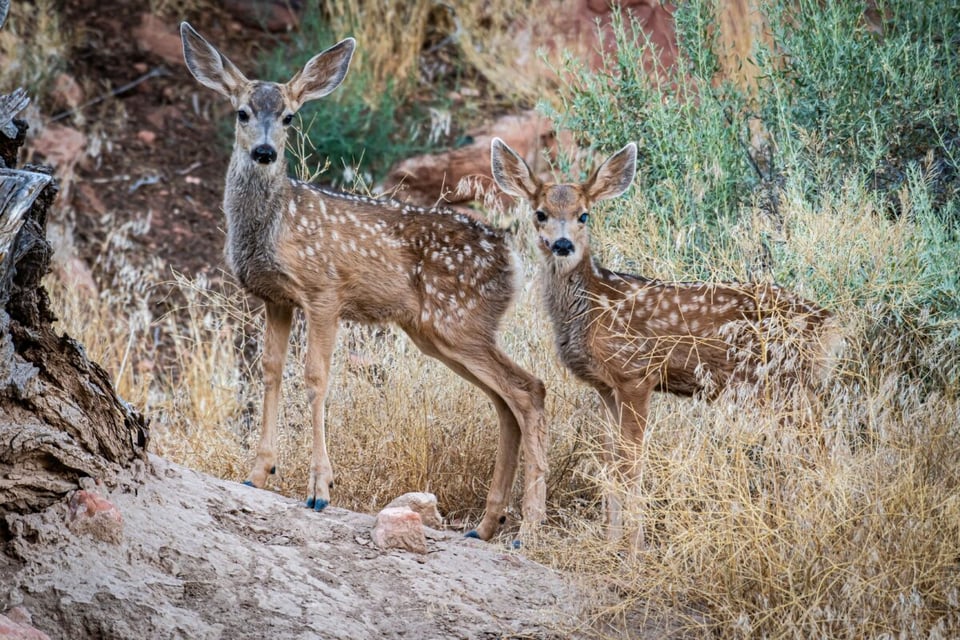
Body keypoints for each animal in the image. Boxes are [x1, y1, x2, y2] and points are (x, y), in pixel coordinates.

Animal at [179, 23, 548, 541]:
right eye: (242, 112)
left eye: (290, 116)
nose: (265, 152)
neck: (274, 224)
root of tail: (511, 256)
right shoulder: (276, 298)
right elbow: (270, 372)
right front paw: (257, 473)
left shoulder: (324, 292)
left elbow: (316, 377)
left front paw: (319, 488)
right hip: (441, 332)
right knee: (505, 402)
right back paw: (486, 524)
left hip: (457, 321)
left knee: (529, 390)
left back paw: (527, 527)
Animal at [490, 137, 840, 547]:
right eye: (541, 213)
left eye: (584, 215)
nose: (562, 245)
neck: (594, 307)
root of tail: (829, 324)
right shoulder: (605, 387)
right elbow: (610, 462)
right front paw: (612, 542)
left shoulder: (637, 374)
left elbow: (633, 462)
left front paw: (634, 548)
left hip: (786, 383)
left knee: (820, 448)